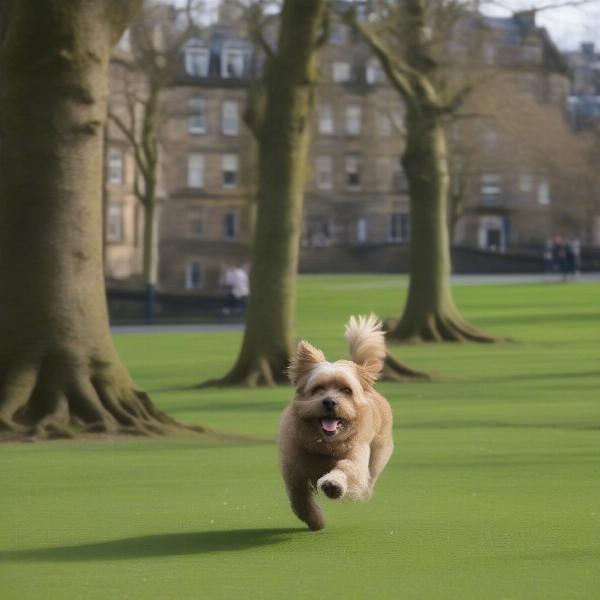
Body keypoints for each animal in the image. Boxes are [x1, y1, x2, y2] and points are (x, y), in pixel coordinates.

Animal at [280, 314, 396, 528]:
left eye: (346, 390)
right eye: (318, 388)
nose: (330, 402)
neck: (325, 446)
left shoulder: (355, 458)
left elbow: (345, 469)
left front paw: (333, 485)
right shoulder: (294, 472)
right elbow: (300, 500)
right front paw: (315, 520)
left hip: (378, 455)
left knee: (367, 481)